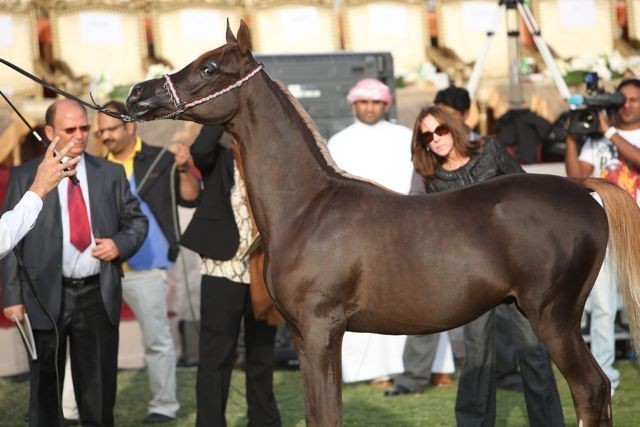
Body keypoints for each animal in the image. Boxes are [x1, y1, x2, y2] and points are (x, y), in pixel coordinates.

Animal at [124, 21, 640, 426]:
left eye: (210, 68)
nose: (136, 94)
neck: (309, 207)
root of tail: (581, 188)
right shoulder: (302, 336)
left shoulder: (321, 331)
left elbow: (326, 415)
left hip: (553, 317)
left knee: (591, 390)